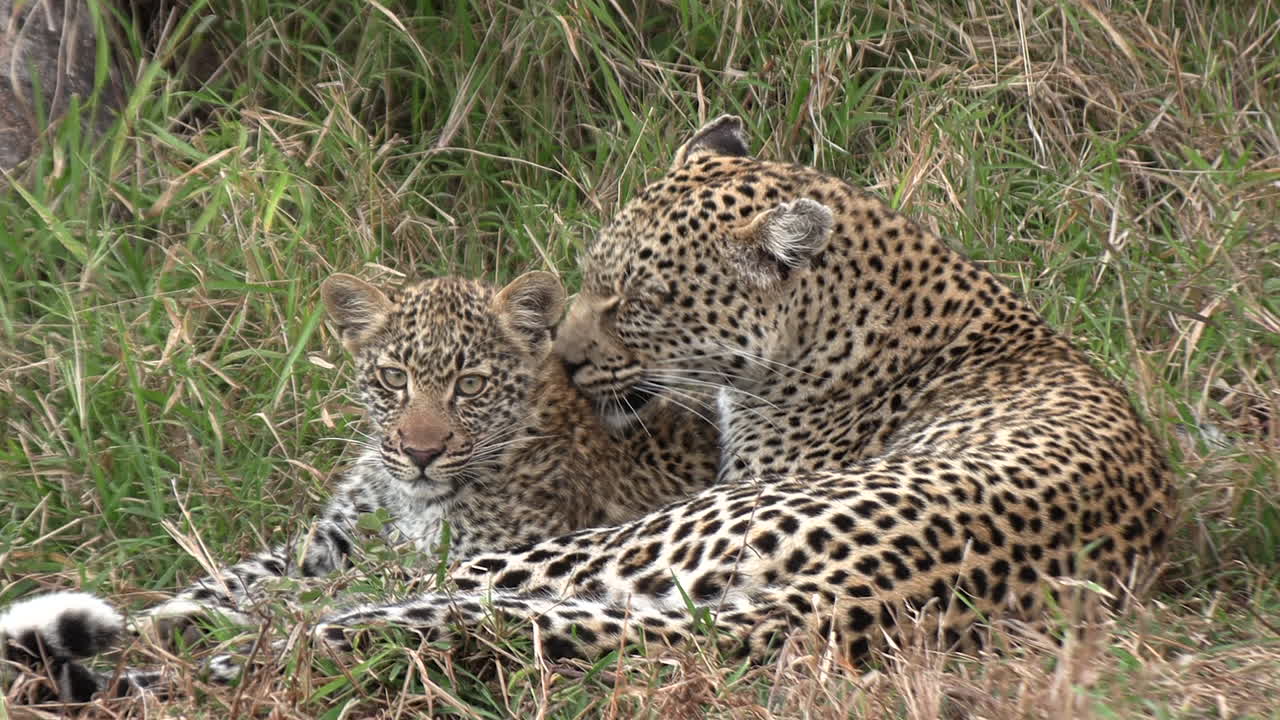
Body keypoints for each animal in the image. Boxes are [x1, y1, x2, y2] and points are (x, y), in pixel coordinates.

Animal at [0, 270, 719, 703]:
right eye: (394, 378)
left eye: (471, 385)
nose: (422, 451)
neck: (409, 499)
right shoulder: (329, 537)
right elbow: (235, 577)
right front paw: (160, 616)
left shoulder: (460, 557)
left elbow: (310, 595)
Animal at [308, 115, 1176, 669]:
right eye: (590, 278)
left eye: (640, 302)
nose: (565, 363)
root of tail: (866, 592)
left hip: (656, 531)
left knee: (429, 576)